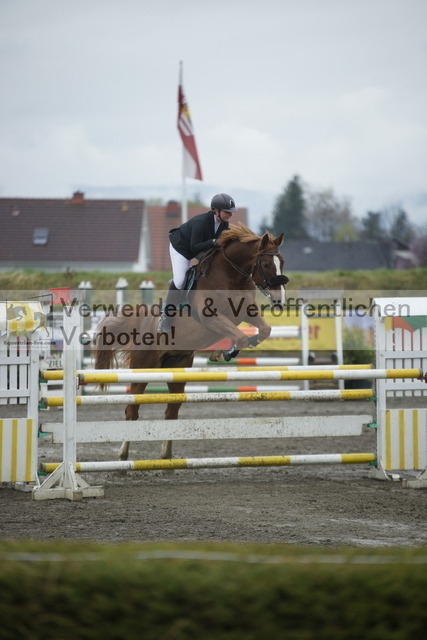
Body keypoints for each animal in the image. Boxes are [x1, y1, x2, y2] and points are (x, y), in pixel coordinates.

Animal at [93, 223, 288, 461]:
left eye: (282, 262)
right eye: (267, 264)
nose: (280, 301)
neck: (231, 276)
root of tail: (141, 323)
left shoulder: (245, 312)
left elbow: (264, 331)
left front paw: (228, 351)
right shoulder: (212, 318)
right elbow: (240, 336)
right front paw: (224, 353)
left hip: (177, 370)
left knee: (171, 412)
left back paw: (166, 455)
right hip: (143, 367)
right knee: (132, 410)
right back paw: (122, 454)